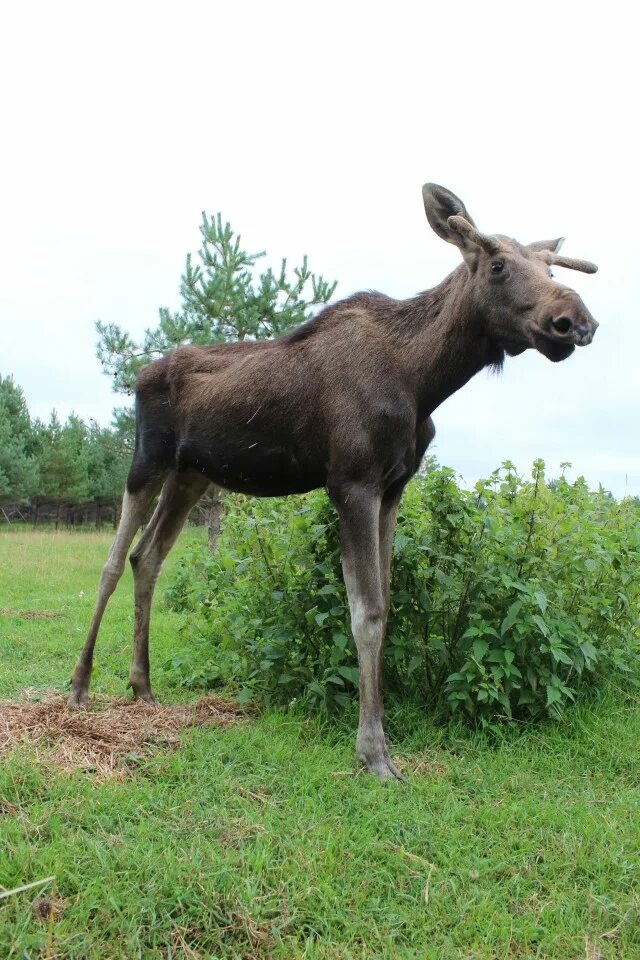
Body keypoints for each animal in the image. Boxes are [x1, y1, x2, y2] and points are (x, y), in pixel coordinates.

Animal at [71, 186, 600, 780]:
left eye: (550, 266)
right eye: (498, 264)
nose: (574, 320)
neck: (424, 380)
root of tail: (140, 375)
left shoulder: (393, 489)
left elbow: (387, 608)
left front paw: (382, 739)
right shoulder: (352, 483)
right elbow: (366, 613)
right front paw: (373, 752)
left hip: (191, 475)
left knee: (148, 558)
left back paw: (142, 686)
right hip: (148, 459)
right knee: (112, 562)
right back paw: (80, 685)